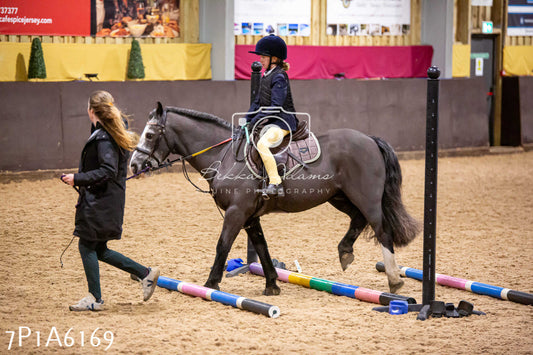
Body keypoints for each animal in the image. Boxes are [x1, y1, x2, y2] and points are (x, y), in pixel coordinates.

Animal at [130, 102, 420, 294]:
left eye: (150, 134)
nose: (134, 165)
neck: (224, 156)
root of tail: (369, 139)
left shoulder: (236, 212)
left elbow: (223, 245)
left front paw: (211, 284)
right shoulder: (249, 216)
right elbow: (262, 248)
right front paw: (271, 285)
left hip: (367, 198)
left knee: (382, 230)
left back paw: (394, 280)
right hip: (340, 197)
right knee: (358, 220)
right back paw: (345, 252)